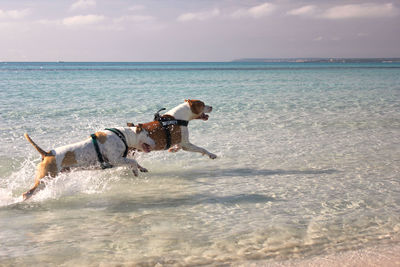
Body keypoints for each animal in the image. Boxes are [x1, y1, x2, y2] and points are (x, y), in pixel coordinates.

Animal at [22, 126, 155, 200]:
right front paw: (136, 170)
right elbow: (133, 161)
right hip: (45, 178)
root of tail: (47, 153)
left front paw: (140, 168)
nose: (155, 142)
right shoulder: (115, 159)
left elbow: (133, 162)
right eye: (148, 134)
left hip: (48, 179)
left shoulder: (120, 159)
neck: (123, 135)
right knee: (27, 193)